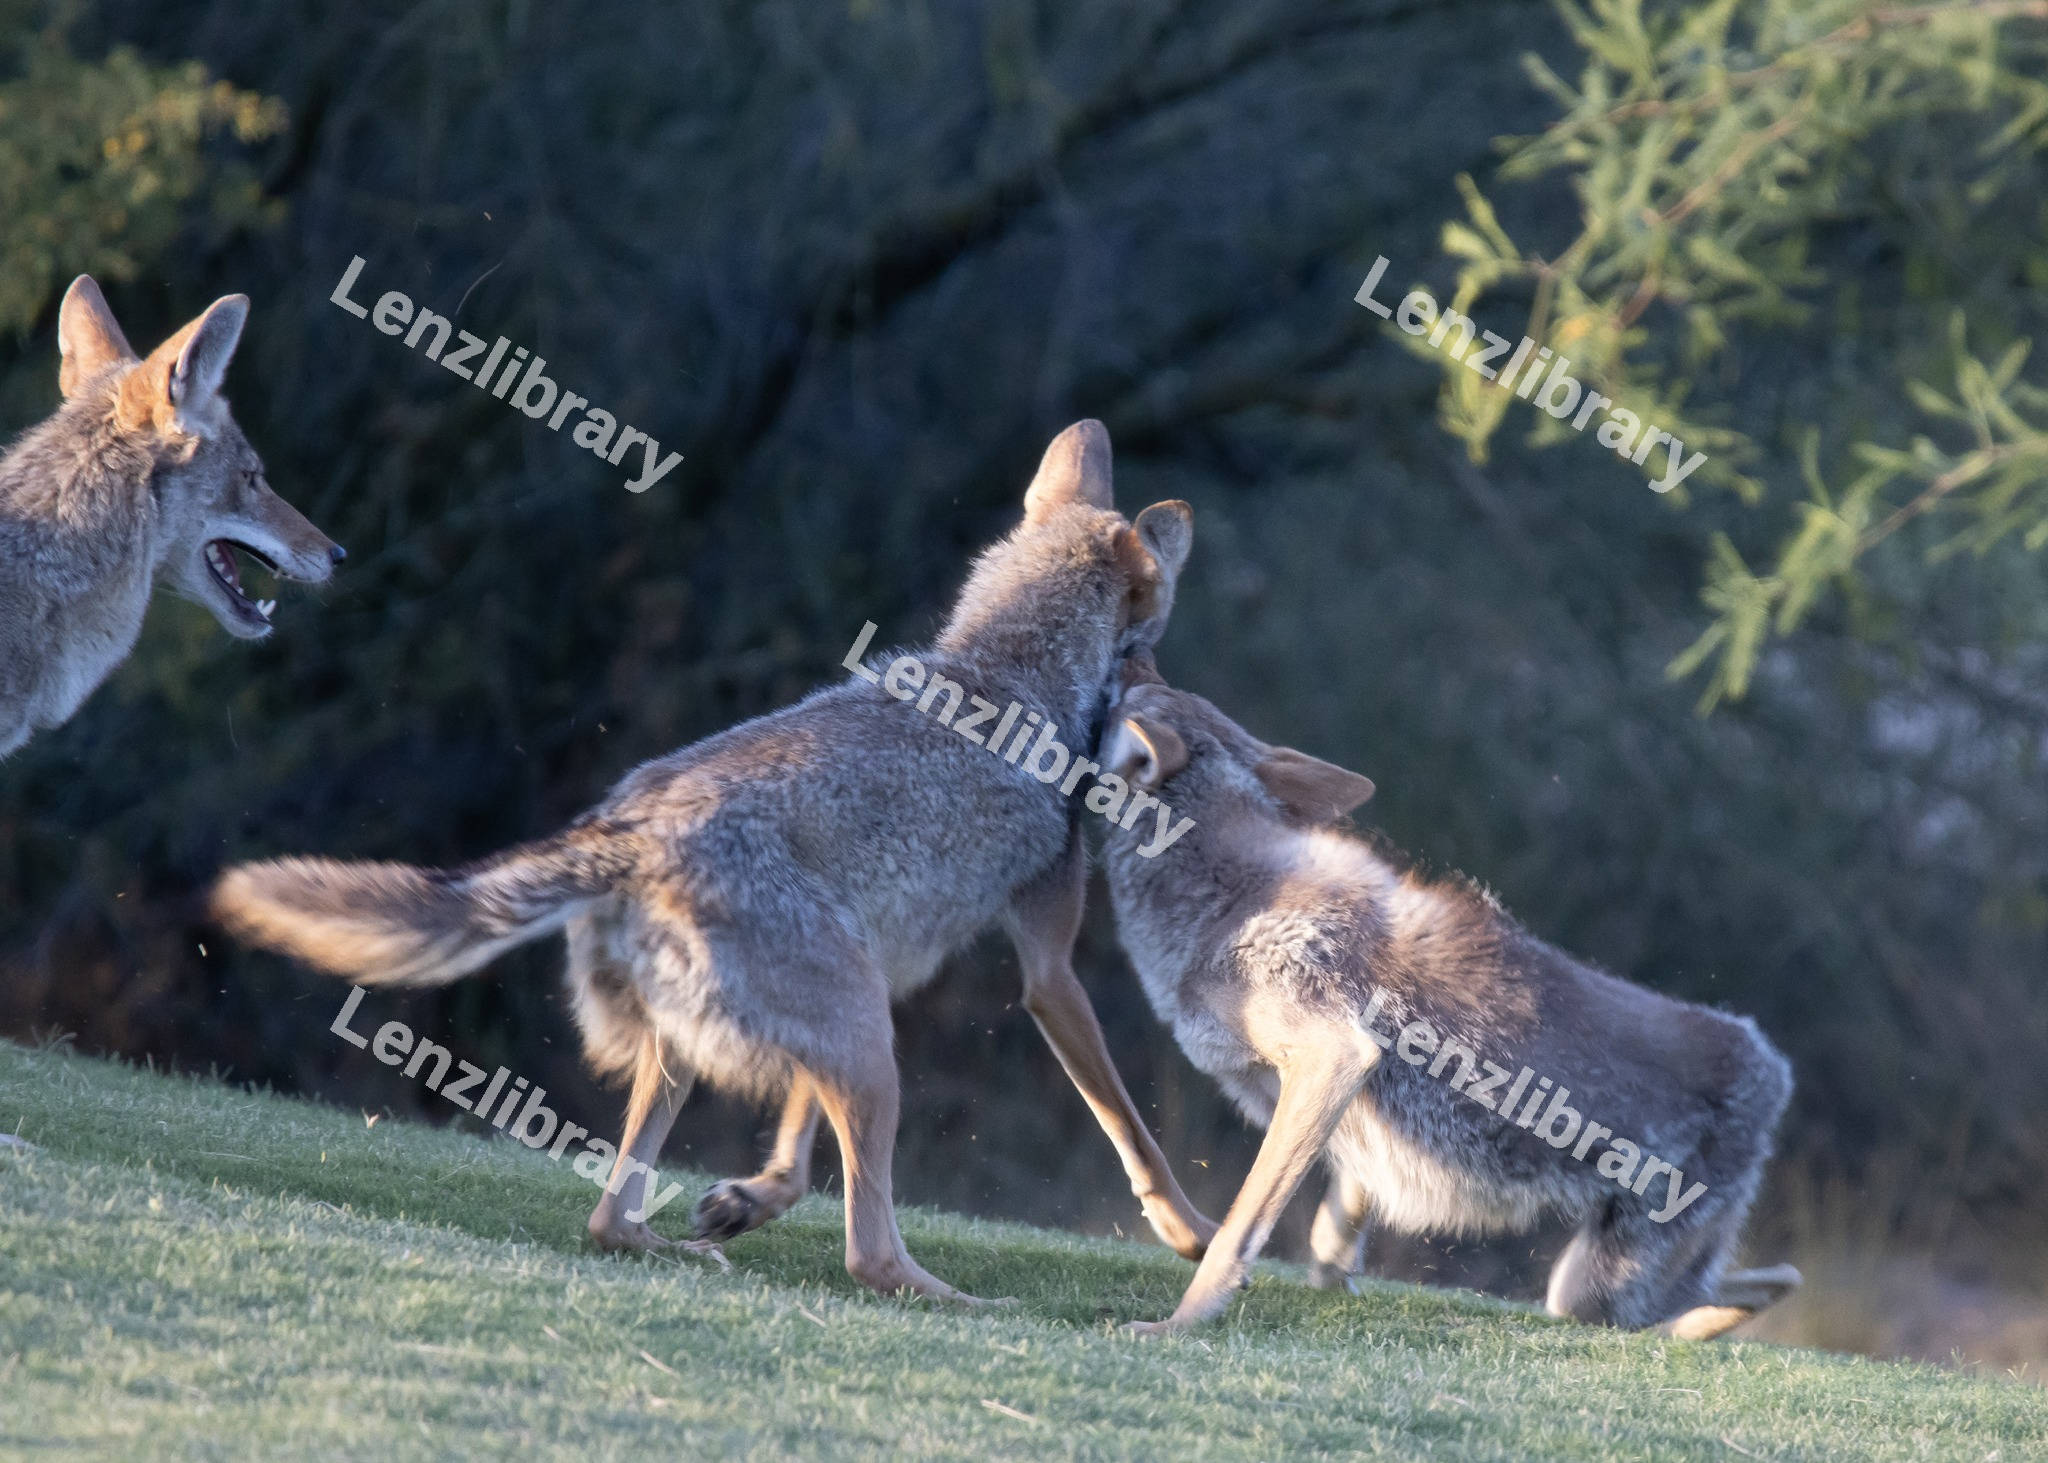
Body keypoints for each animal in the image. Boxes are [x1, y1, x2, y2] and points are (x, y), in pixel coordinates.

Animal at [210, 421, 1218, 1302]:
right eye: (1157, 625)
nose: (1162, 683)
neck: (1010, 672)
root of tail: (632, 825)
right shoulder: (1045, 974)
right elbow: (1132, 1128)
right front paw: (1193, 1233)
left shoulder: (865, 979)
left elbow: (795, 1143)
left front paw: (749, 1199)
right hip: (870, 1053)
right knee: (871, 1256)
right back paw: (962, 1301)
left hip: (736, 1044)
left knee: (612, 1219)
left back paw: (682, 1247)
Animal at [1091, 653, 1801, 1339]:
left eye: (1129, 697)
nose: (1131, 657)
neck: (1225, 896)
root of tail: (1772, 1063)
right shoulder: (1346, 1121)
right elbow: (1331, 1235)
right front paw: (1335, 1287)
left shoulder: (1333, 1058)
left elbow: (1237, 1234)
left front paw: (1176, 1325)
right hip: (1591, 1288)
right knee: (1760, 1282)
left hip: (1606, 1289)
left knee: (1759, 1284)